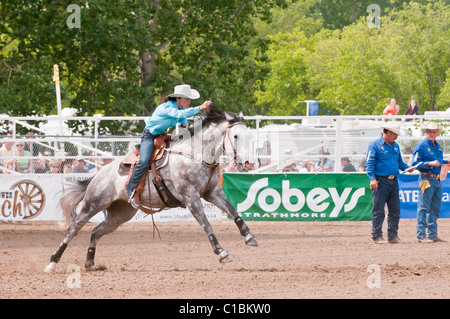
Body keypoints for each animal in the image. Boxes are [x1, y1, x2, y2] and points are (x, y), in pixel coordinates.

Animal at [45, 107, 258, 272]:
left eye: (250, 136)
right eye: (236, 136)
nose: (248, 163)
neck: (194, 155)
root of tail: (98, 174)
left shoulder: (212, 192)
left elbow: (233, 210)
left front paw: (249, 236)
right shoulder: (191, 197)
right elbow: (206, 224)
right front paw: (221, 251)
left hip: (120, 214)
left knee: (96, 232)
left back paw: (90, 263)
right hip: (93, 204)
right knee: (73, 229)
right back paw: (52, 262)